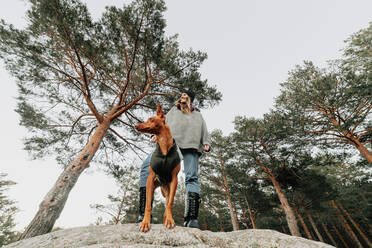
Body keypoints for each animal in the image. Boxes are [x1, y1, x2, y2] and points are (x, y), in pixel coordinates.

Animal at [135, 103, 182, 232]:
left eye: (150, 119)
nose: (136, 126)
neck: (164, 147)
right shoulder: (150, 178)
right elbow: (147, 205)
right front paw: (145, 223)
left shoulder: (174, 179)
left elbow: (170, 204)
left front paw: (169, 220)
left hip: (168, 188)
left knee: (167, 203)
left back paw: (167, 218)